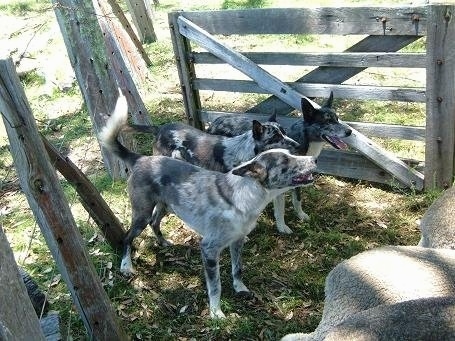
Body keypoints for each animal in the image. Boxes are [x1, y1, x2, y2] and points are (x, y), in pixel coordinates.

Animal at [99, 92, 318, 316]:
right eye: (285, 160)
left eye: (290, 152)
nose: (311, 158)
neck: (244, 195)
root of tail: (141, 158)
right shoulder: (209, 250)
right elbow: (215, 286)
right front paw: (216, 313)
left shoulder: (237, 241)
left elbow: (237, 269)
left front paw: (240, 288)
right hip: (141, 213)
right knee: (127, 237)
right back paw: (126, 266)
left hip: (165, 206)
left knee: (155, 222)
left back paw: (163, 242)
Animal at [208, 91, 354, 232]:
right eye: (327, 121)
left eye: (337, 119)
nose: (350, 132)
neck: (303, 140)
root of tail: (216, 120)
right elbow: (280, 209)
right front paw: (282, 227)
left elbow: (297, 200)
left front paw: (300, 215)